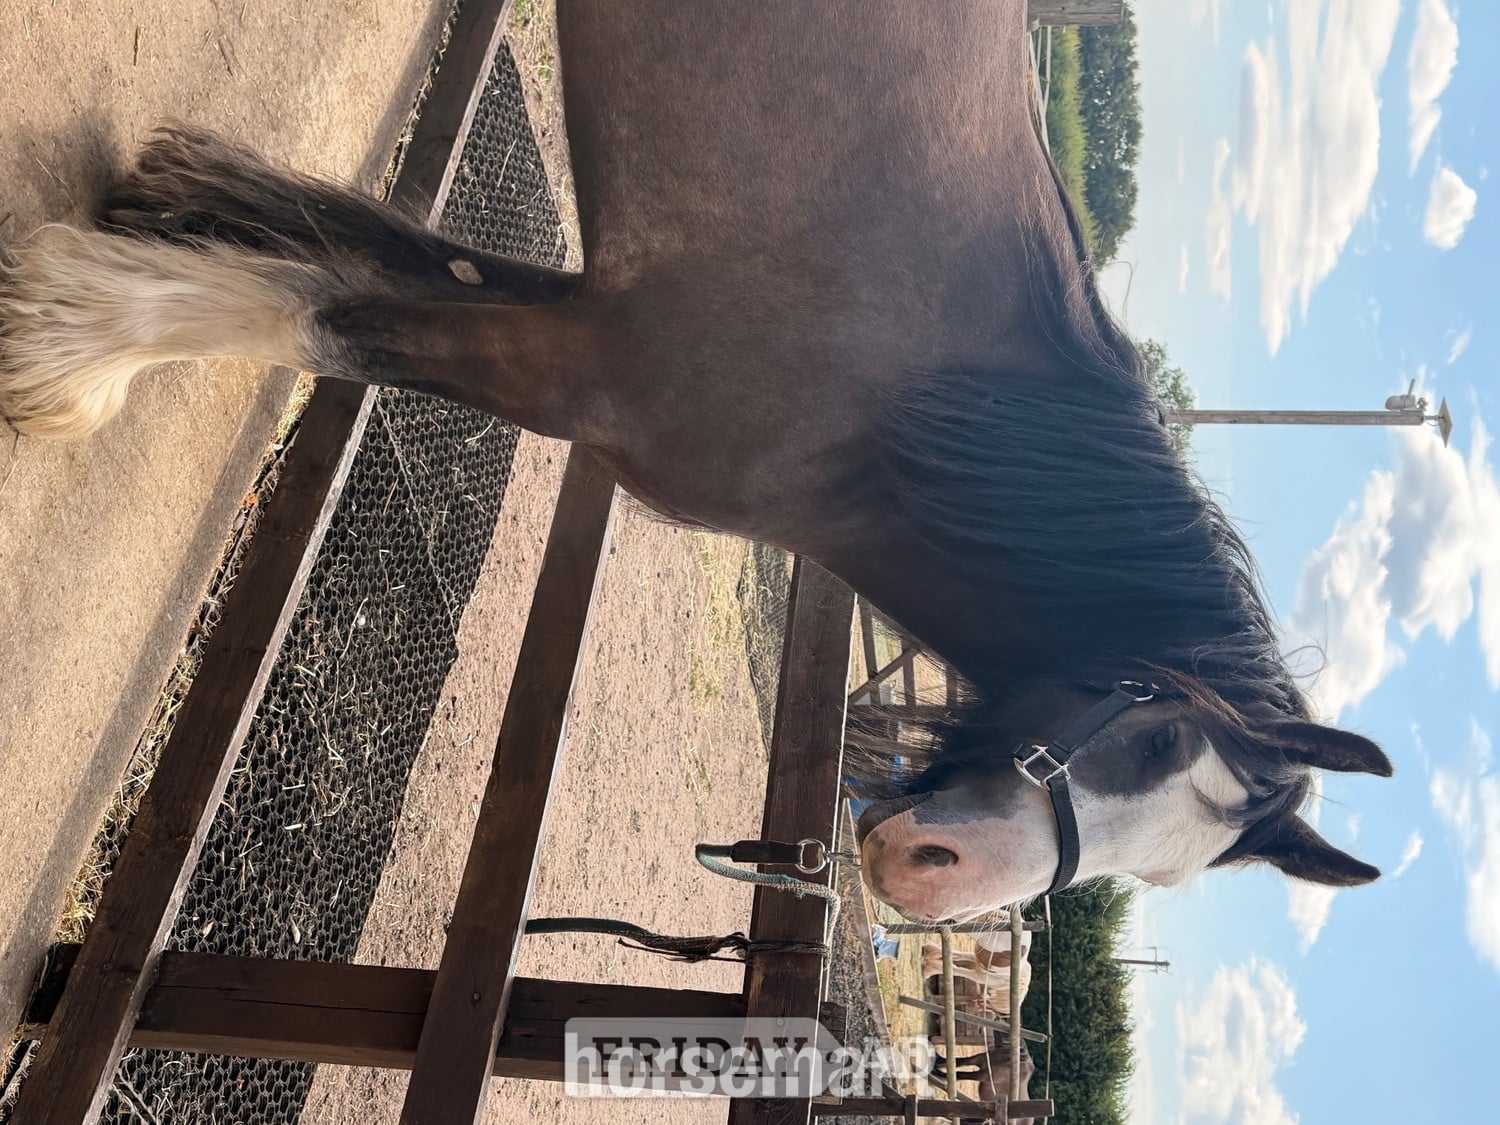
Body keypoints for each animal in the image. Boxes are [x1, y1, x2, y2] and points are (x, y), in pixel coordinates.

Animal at [0, 0, 1393, 924]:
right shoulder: (588, 369)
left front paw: (173, 211)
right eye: (1152, 742)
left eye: (1157, 867)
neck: (903, 415)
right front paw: (70, 347)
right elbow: (328, 316)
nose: (927, 877)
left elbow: (368, 263)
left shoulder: (580, 316)